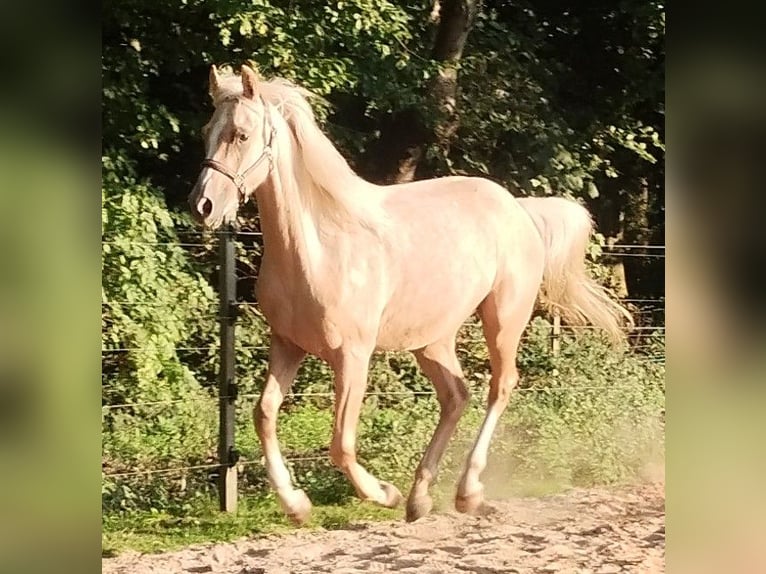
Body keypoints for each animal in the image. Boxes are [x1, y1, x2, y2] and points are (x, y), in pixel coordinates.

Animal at [189, 65, 632, 528]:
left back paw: (467, 492)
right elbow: (264, 414)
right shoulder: (287, 345)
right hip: (433, 339)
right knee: (456, 395)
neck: (319, 247)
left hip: (503, 320)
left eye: (240, 134)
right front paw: (297, 505)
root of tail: (518, 208)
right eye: (206, 131)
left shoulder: (352, 356)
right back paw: (421, 498)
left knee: (500, 387)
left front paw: (384, 493)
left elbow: (341, 443)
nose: (202, 205)